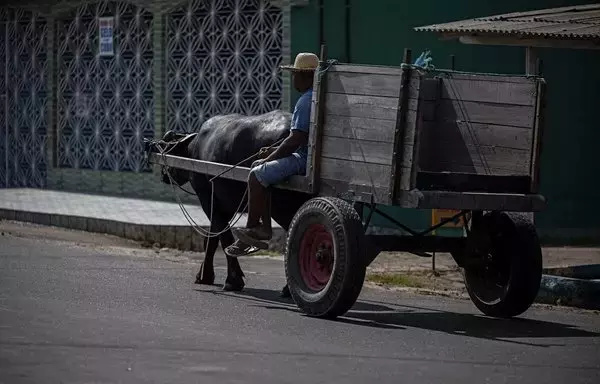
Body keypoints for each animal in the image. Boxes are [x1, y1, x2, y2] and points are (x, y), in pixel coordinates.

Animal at [157, 109, 312, 292]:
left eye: (168, 146)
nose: (163, 174)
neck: (194, 150)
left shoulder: (208, 199)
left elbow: (224, 238)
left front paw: (232, 279)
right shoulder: (223, 207)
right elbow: (212, 237)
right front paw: (204, 275)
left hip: (282, 206)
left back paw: (290, 287)